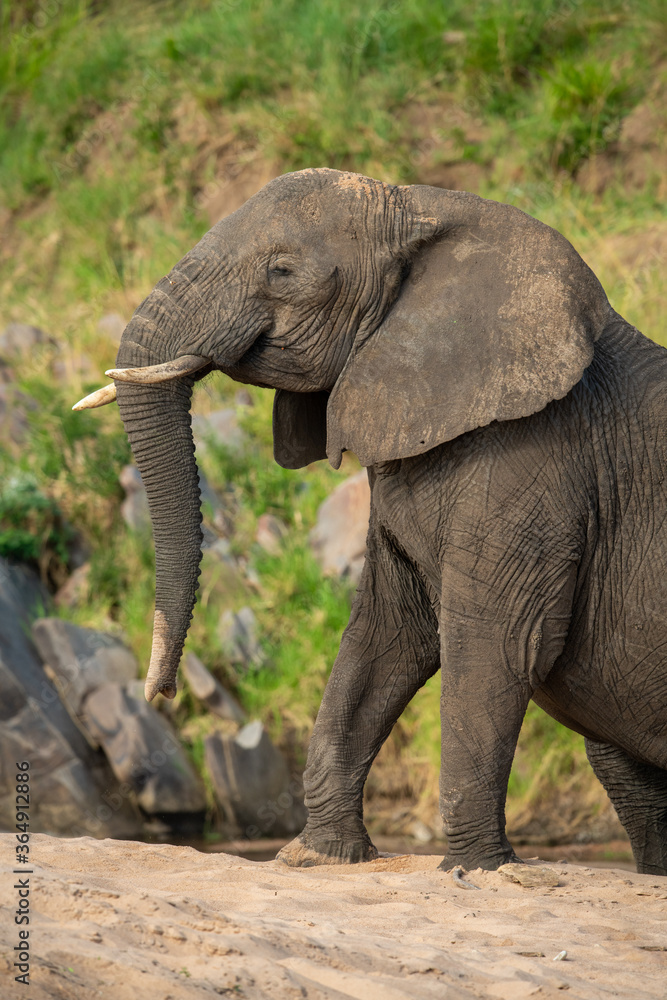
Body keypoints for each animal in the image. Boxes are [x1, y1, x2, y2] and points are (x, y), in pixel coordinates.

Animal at [75, 168, 667, 875]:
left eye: (282, 271)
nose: (155, 695)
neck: (423, 204)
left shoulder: (538, 466)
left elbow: (497, 644)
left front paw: (475, 870)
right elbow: (385, 634)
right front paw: (319, 857)